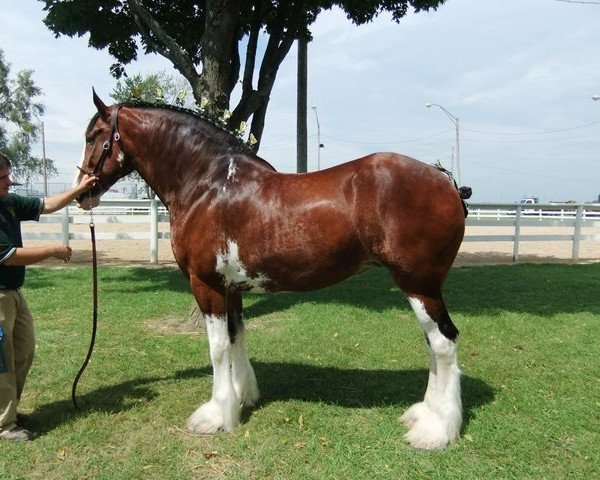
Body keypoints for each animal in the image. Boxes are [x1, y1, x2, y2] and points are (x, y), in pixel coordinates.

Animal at [74, 93, 468, 450]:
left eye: (94, 135)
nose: (81, 194)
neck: (207, 184)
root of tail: (445, 181)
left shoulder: (207, 285)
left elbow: (218, 348)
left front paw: (215, 415)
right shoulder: (230, 287)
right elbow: (236, 336)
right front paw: (242, 398)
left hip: (419, 284)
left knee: (444, 343)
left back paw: (436, 432)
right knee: (433, 344)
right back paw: (424, 414)